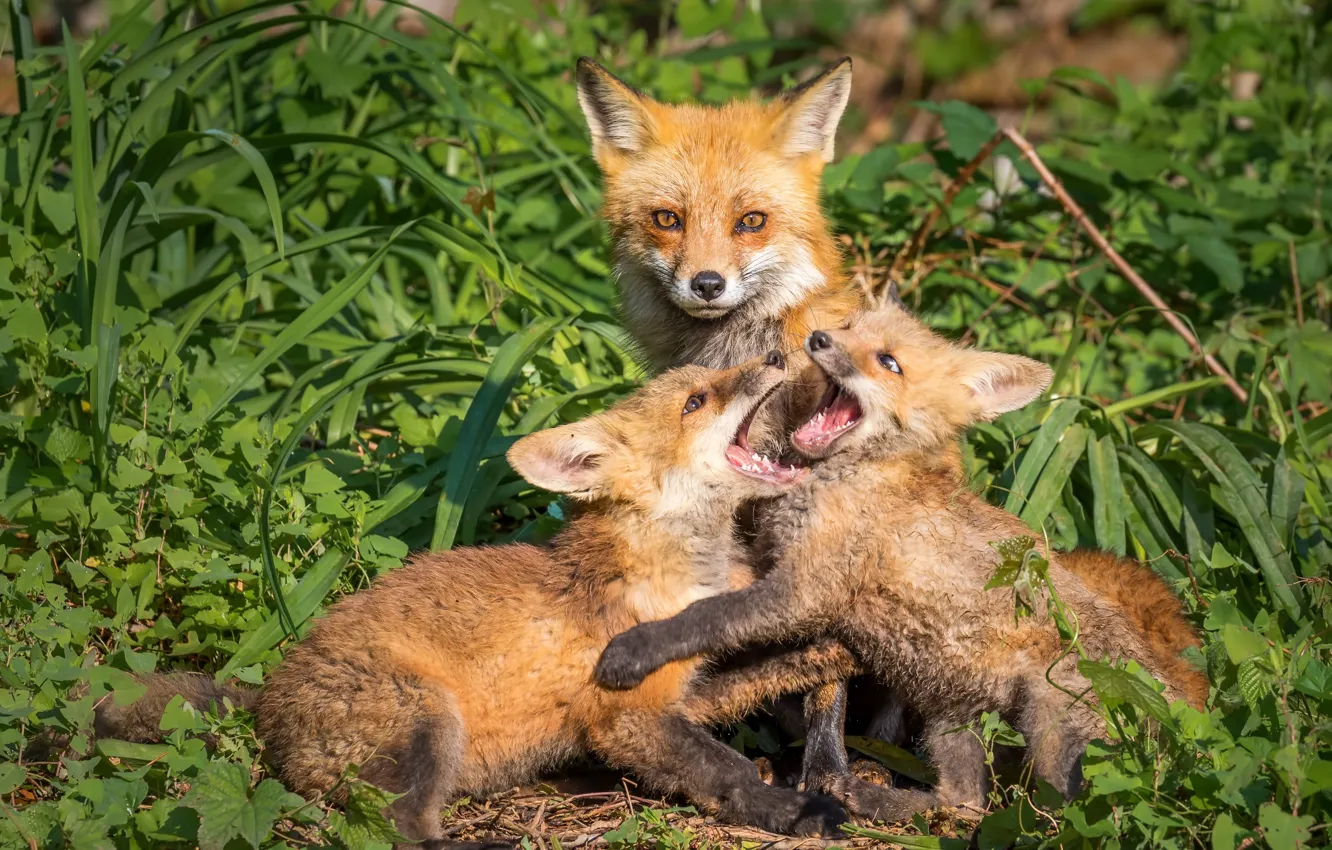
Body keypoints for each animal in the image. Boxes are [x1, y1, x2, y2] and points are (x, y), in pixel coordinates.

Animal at [95, 353, 861, 848]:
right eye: (696, 401)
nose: (776, 351)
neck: (678, 574)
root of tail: (268, 702)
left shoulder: (683, 690)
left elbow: (769, 670)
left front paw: (837, 652)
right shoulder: (625, 714)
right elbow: (727, 768)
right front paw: (786, 809)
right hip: (428, 724)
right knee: (400, 832)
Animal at [591, 297, 1209, 821]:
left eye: (888, 362)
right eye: (846, 328)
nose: (817, 339)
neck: (844, 477)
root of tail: (1191, 716)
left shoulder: (806, 591)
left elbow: (706, 617)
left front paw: (634, 651)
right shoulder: (783, 573)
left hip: (1052, 729)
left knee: (1067, 814)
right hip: (949, 711)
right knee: (962, 801)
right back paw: (872, 799)